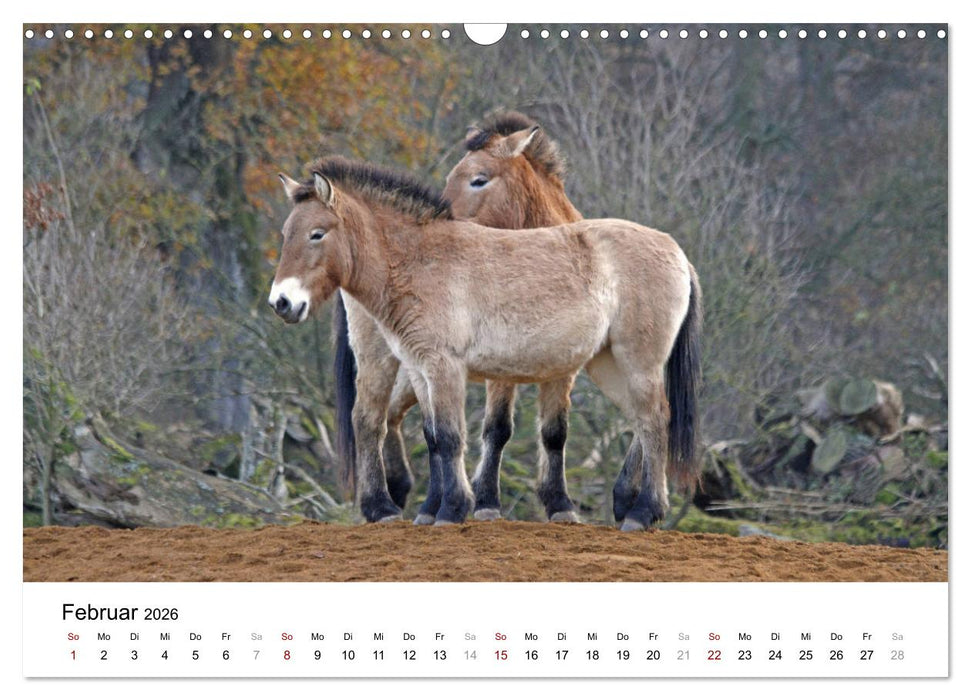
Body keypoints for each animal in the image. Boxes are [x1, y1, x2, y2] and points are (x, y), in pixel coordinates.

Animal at [268, 157, 702, 530]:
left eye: (317, 234)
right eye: (286, 235)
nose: (282, 302)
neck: (418, 261)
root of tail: (677, 253)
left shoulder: (445, 367)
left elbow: (450, 436)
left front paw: (453, 509)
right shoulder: (421, 369)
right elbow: (434, 436)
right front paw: (435, 509)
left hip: (637, 363)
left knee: (654, 420)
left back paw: (643, 512)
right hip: (606, 364)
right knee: (643, 421)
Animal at [333, 111, 585, 525]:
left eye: (479, 178)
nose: (439, 220)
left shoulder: (563, 365)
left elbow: (554, 432)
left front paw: (559, 504)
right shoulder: (500, 366)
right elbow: (497, 429)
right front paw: (486, 502)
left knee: (395, 416)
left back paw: (404, 490)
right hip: (381, 356)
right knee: (373, 418)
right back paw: (388, 501)